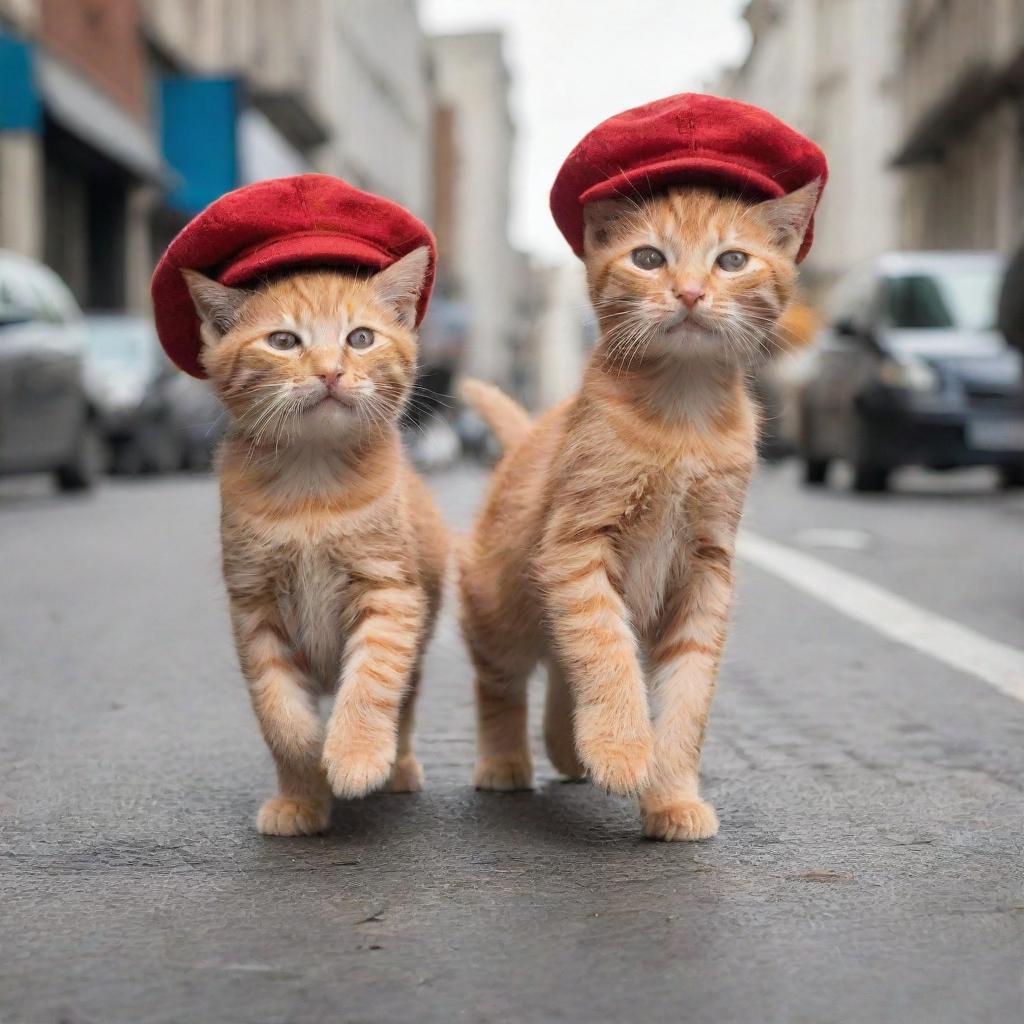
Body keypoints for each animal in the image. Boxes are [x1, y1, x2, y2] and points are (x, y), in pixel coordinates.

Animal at [183, 249, 444, 839]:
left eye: (361, 338)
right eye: (283, 341)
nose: (330, 371)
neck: (311, 487)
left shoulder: (391, 591)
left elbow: (373, 680)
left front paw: (354, 756)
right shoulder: (254, 605)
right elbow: (276, 708)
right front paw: (302, 782)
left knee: (406, 700)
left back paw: (397, 764)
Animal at [460, 182, 819, 839]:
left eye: (732, 260)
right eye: (649, 258)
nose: (691, 292)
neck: (683, 415)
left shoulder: (706, 571)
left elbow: (686, 696)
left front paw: (671, 794)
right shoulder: (578, 547)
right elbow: (606, 651)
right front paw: (622, 749)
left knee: (561, 667)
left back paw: (569, 749)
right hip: (499, 607)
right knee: (503, 679)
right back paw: (506, 761)